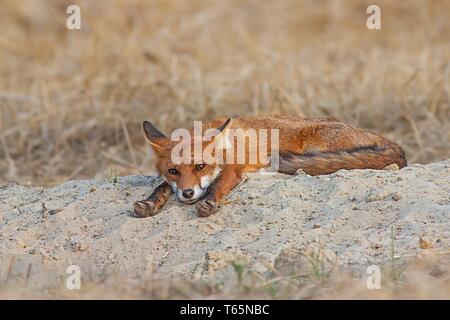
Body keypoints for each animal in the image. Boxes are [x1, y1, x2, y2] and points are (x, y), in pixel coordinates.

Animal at [132, 116, 406, 219]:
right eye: (173, 171)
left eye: (201, 166)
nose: (187, 194)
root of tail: (394, 145)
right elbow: (161, 187)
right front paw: (149, 203)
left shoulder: (235, 168)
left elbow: (217, 185)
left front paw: (209, 203)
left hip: (315, 143)